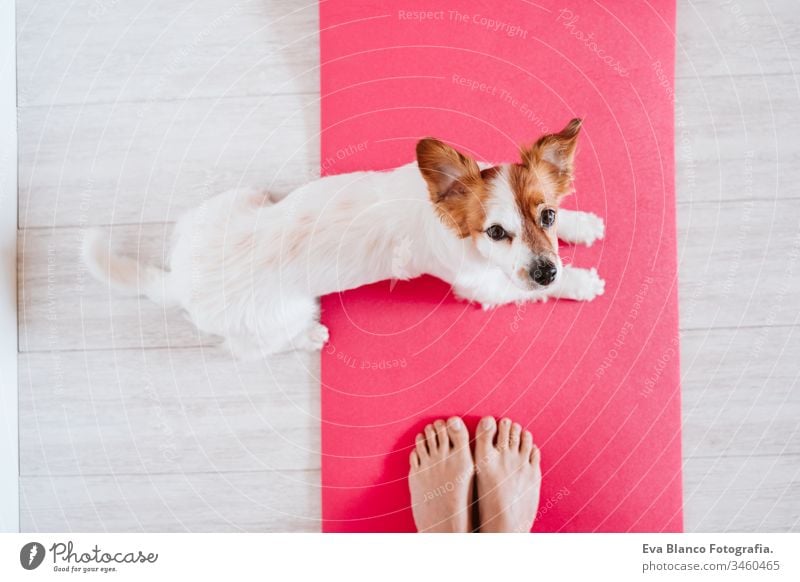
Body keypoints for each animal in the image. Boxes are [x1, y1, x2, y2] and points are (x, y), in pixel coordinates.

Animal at [84, 119, 604, 360]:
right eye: (496, 232)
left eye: (547, 214)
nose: (545, 269)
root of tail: (176, 280)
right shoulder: (484, 287)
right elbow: (531, 289)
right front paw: (580, 283)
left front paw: (583, 225)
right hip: (280, 315)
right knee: (248, 347)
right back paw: (309, 336)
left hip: (224, 206)